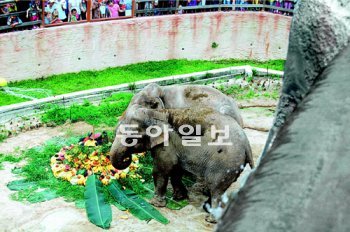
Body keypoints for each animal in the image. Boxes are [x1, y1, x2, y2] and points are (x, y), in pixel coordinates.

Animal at [108, 104, 253, 218]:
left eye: (130, 139)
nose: (127, 157)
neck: (158, 112)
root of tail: (247, 144)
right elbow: (176, 169)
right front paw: (179, 197)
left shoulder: (167, 144)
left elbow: (162, 169)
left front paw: (155, 204)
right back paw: (206, 208)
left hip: (224, 163)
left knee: (216, 188)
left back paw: (210, 218)